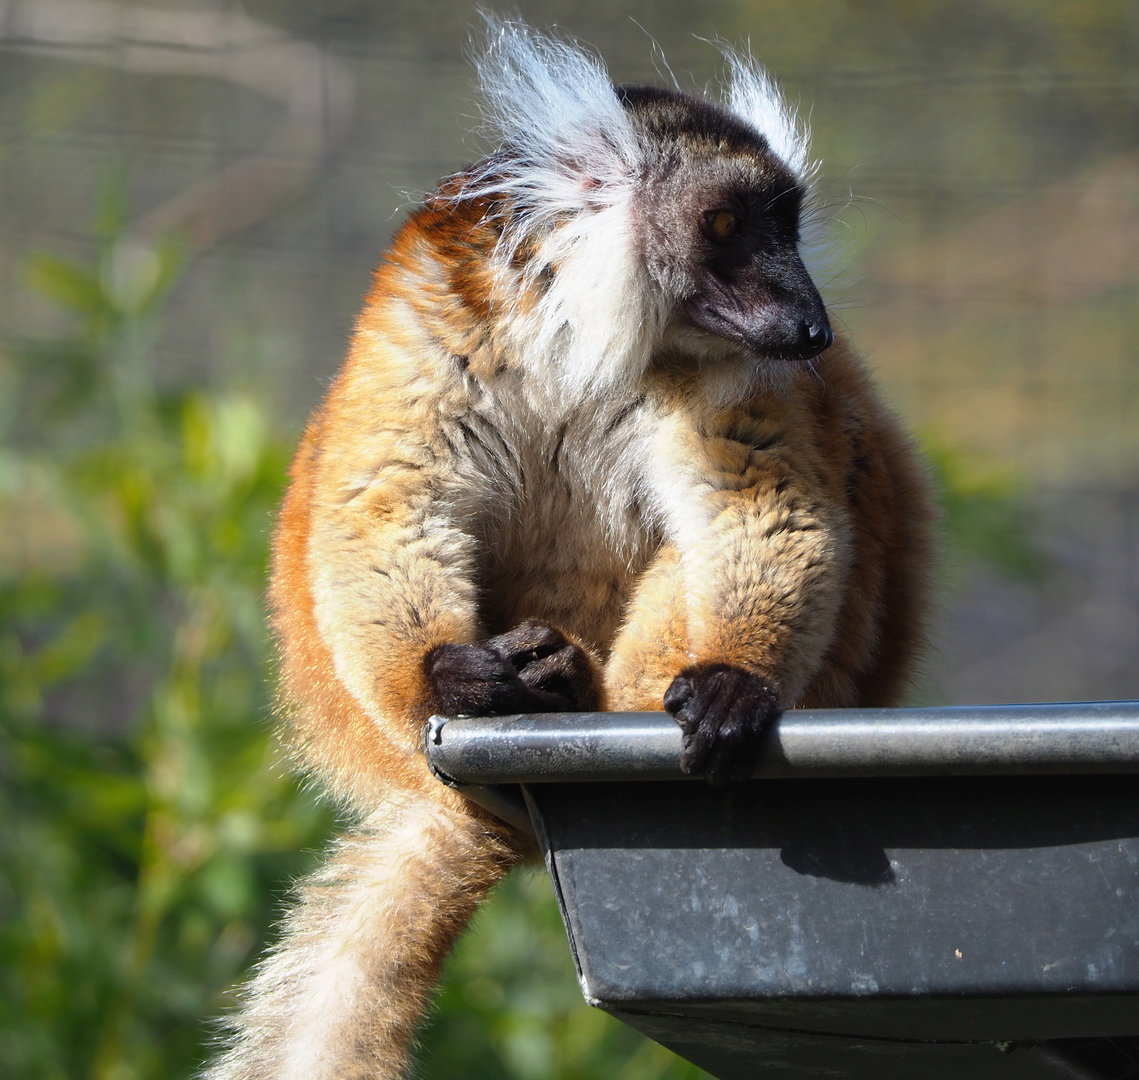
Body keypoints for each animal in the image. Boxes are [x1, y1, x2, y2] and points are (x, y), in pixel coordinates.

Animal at [203, 17, 933, 1080]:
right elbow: (387, 498)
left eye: (786, 227)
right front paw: (451, 672)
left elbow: (758, 502)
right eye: (726, 226)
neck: (590, 331)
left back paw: (595, 692)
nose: (809, 322)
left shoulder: (743, 369)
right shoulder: (438, 301)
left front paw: (733, 680)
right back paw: (537, 680)